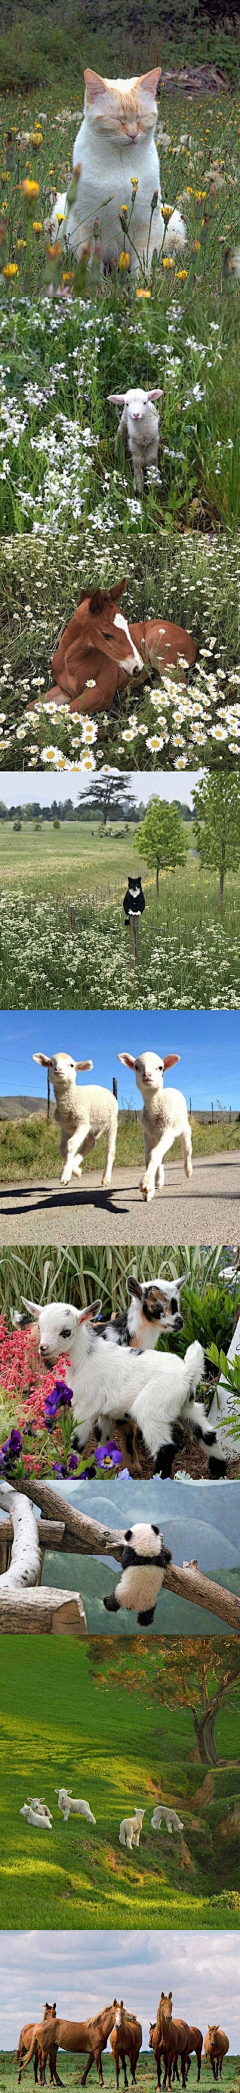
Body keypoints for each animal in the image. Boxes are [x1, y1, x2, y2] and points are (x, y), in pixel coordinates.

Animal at [21, 1297, 226, 1481]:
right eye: (41, 1327)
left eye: (66, 1332)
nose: (43, 1348)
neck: (84, 1357)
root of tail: (187, 1372)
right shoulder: (106, 1411)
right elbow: (102, 1437)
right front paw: (102, 1470)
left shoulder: (86, 1406)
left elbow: (78, 1440)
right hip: (185, 1406)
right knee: (207, 1434)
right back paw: (219, 1474)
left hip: (153, 1407)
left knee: (165, 1449)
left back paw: (159, 1479)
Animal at [31, 1046, 117, 1197]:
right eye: (50, 1063)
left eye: (71, 1065)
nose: (58, 1070)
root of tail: (104, 1088)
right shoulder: (65, 1126)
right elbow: (61, 1150)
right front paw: (74, 1171)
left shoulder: (82, 1122)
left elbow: (70, 1145)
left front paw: (65, 1176)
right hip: (90, 1127)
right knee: (90, 1143)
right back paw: (77, 1168)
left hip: (111, 1121)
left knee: (109, 1151)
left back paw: (106, 1179)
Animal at [41, 581, 198, 719]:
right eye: (106, 634)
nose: (137, 667)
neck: (70, 663)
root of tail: (193, 642)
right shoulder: (65, 690)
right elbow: (37, 706)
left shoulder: (102, 695)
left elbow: (60, 716)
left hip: (162, 656)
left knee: (181, 695)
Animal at [117, 1054, 193, 1205]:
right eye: (136, 1067)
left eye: (160, 1067)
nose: (147, 1075)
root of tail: (172, 1089)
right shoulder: (147, 1134)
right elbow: (149, 1157)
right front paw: (149, 1191)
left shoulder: (168, 1130)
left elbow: (154, 1154)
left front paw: (146, 1184)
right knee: (161, 1157)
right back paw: (158, 1182)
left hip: (183, 1126)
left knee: (186, 1148)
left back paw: (188, 1170)